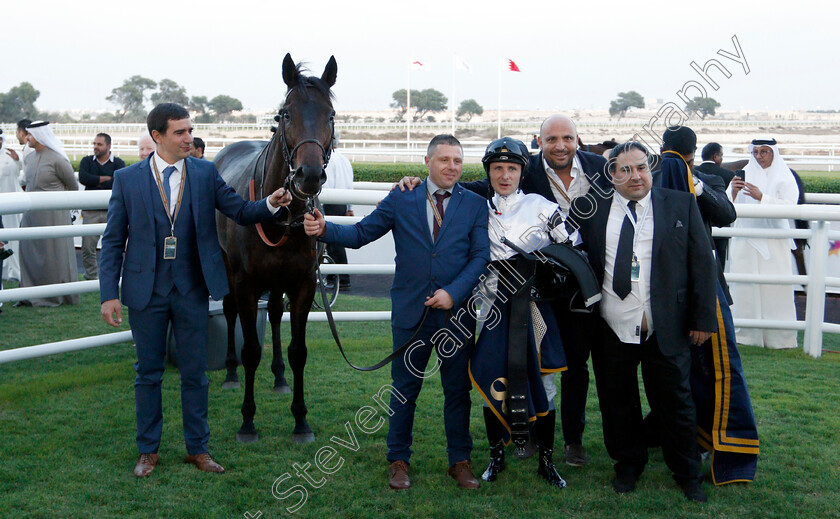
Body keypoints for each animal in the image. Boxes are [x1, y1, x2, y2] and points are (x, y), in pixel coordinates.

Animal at [213, 51, 338, 442]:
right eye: (286, 114)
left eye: (330, 115)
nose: (307, 176)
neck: (282, 217)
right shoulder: (246, 283)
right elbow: (251, 348)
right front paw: (247, 420)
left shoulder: (303, 283)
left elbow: (299, 351)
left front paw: (300, 420)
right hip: (226, 265)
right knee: (229, 312)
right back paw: (230, 373)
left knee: (274, 315)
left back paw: (280, 376)